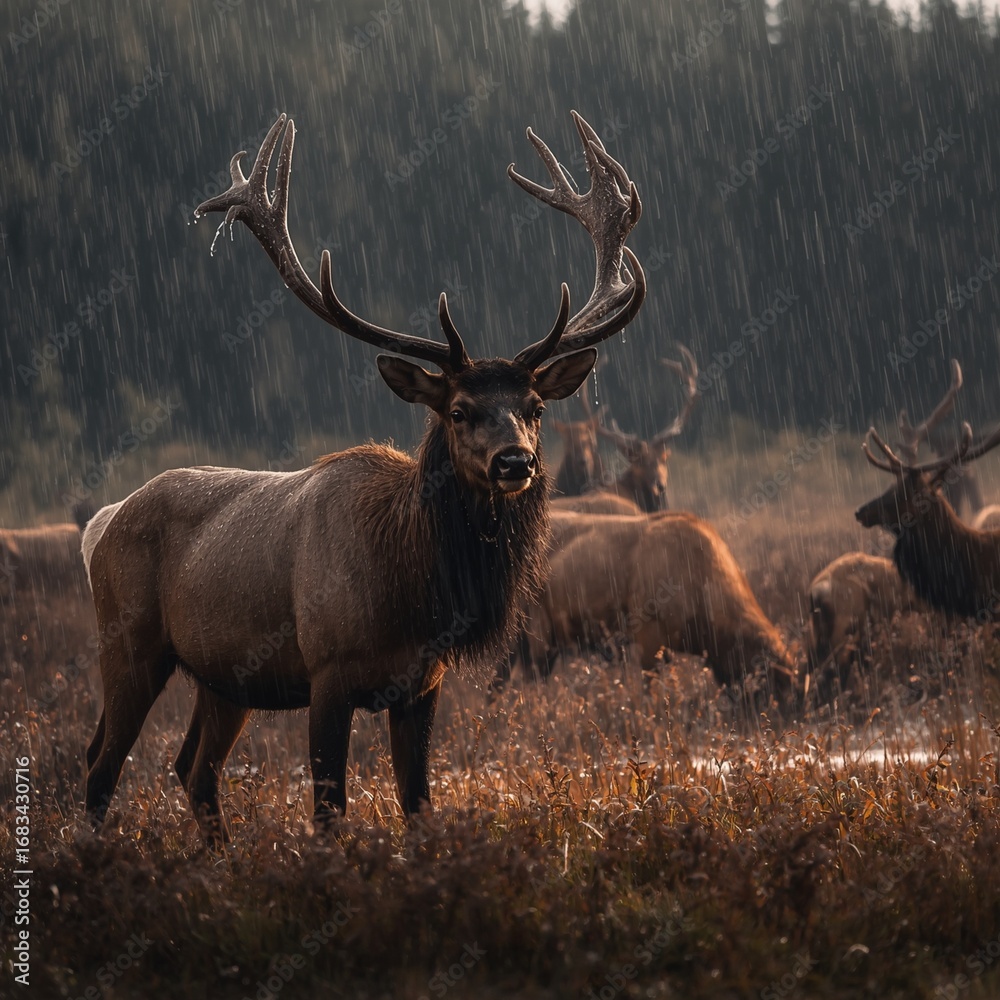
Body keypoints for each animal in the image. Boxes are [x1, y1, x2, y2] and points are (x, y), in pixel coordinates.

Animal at [81, 111, 646, 845]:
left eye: (535, 407)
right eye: (458, 410)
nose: (514, 463)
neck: (413, 591)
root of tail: (103, 524)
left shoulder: (423, 684)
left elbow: (418, 804)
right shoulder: (328, 672)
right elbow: (328, 810)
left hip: (224, 677)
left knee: (192, 768)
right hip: (127, 641)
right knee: (101, 766)